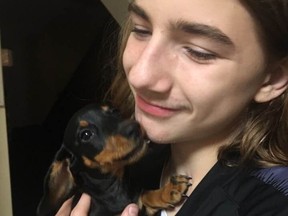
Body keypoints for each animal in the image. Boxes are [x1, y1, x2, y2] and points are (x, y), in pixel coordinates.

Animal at [37, 104, 191, 215]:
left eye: (115, 111)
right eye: (86, 135)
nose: (135, 126)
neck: (114, 188)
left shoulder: (138, 205)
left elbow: (145, 194)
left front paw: (169, 190)